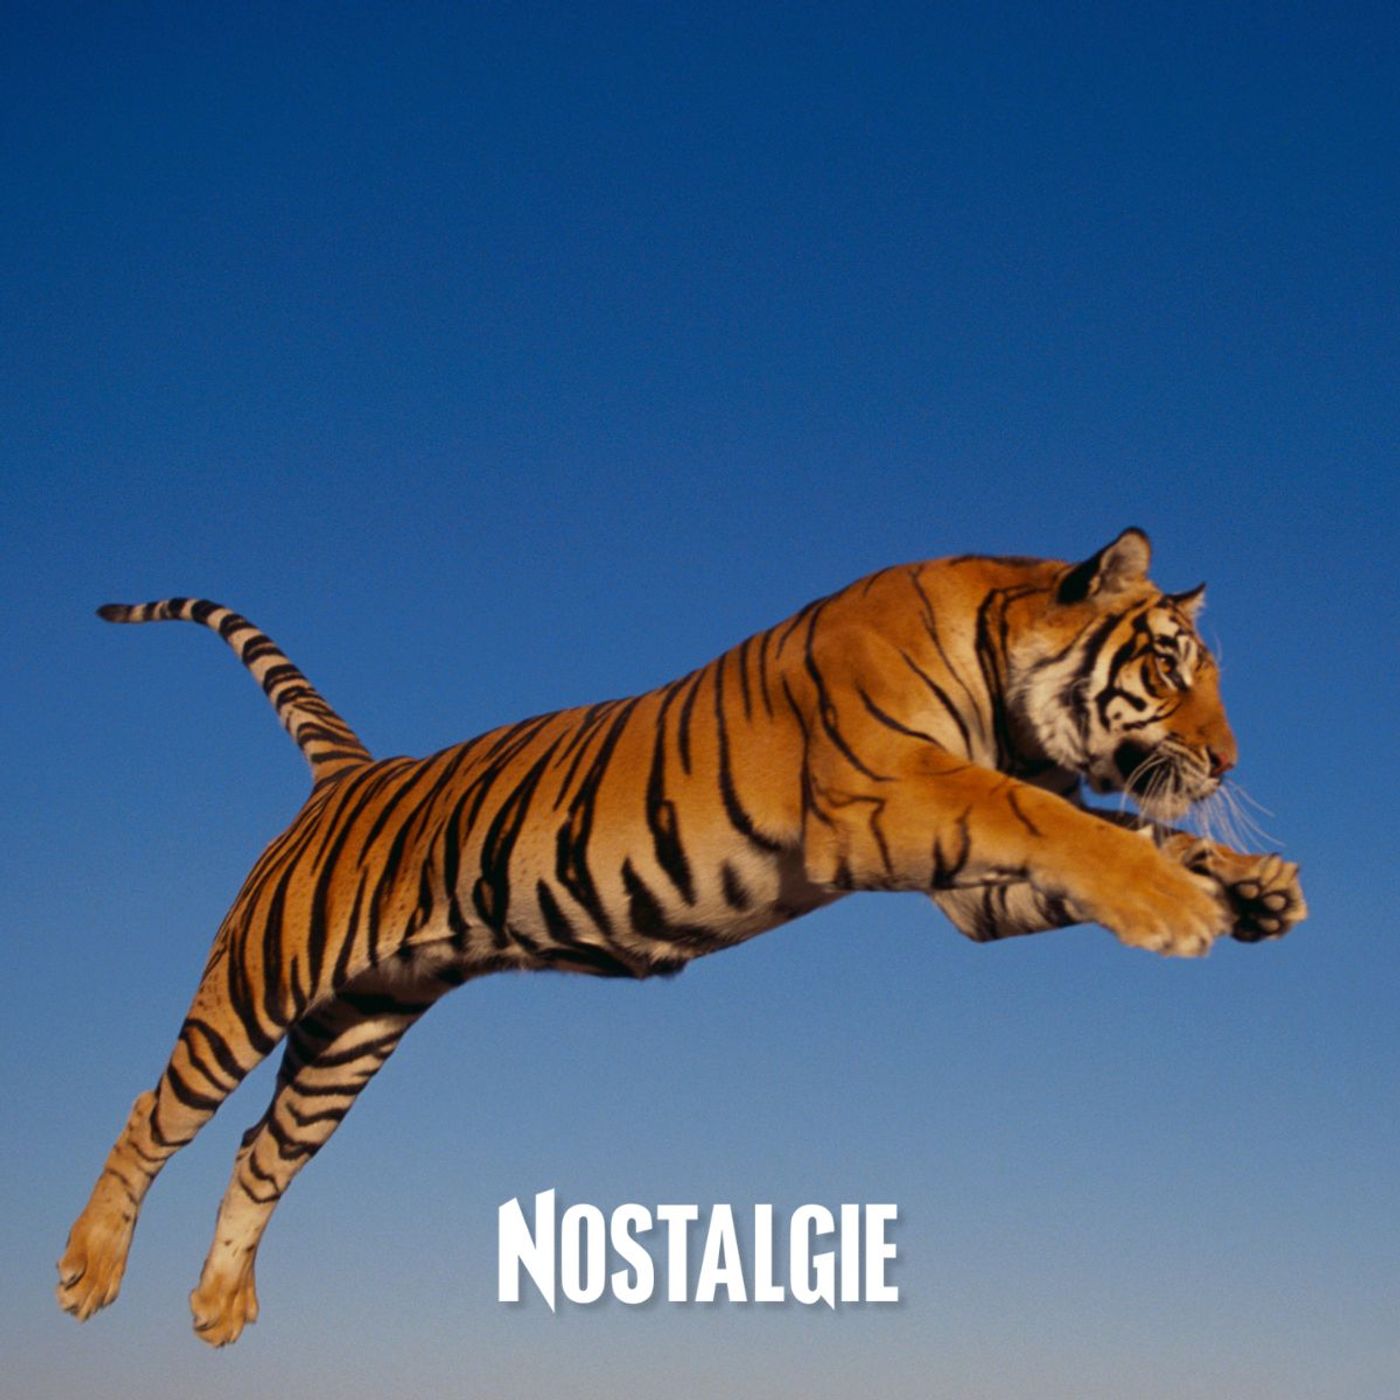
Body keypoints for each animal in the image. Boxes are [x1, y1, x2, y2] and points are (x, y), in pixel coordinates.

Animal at [56, 527, 1305, 1345]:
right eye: (1165, 666)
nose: (1228, 761)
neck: (1003, 685)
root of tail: (350, 771)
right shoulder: (897, 797)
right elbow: (1065, 821)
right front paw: (1176, 906)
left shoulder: (966, 890)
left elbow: (1119, 828)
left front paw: (1252, 886)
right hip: (257, 982)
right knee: (156, 1109)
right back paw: (87, 1268)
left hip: (355, 1028)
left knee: (261, 1148)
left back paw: (218, 1307)